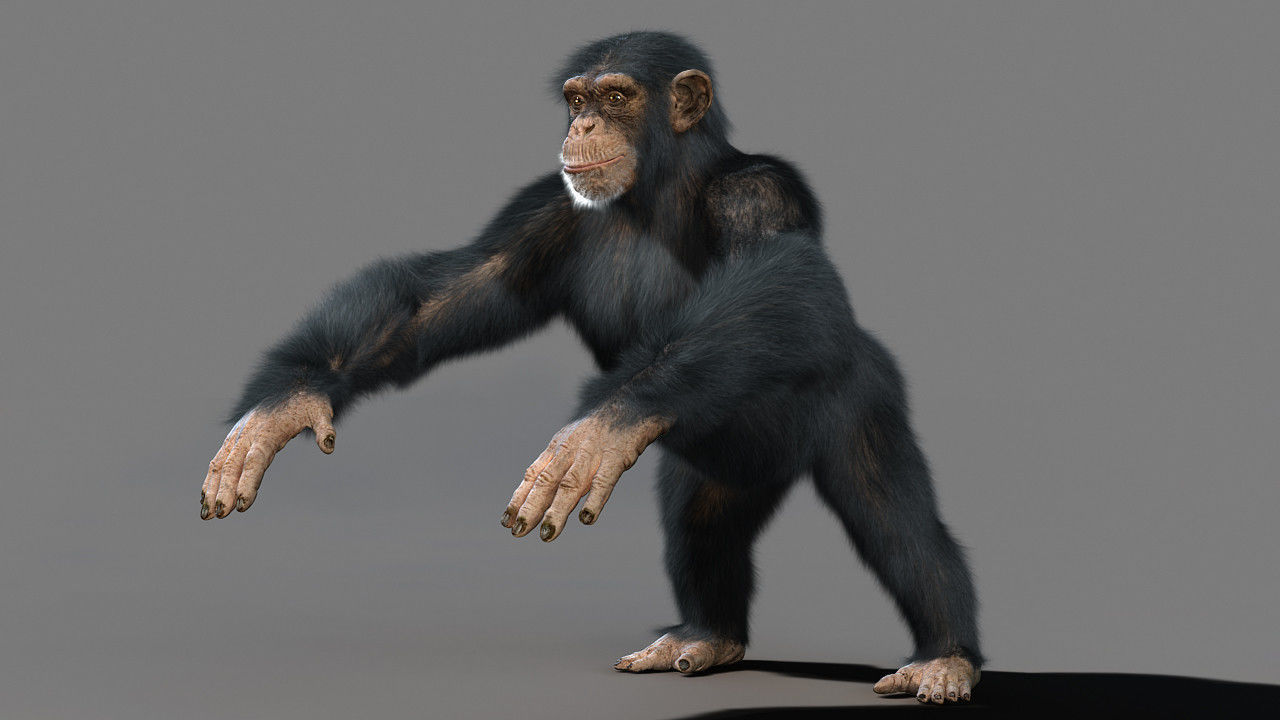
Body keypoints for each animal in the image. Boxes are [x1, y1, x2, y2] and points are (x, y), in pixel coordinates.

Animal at [200, 31, 982, 705]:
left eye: (616, 97)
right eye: (576, 99)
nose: (581, 127)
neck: (658, 193)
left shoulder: (762, 192)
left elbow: (788, 277)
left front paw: (597, 430)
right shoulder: (541, 218)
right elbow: (441, 298)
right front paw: (283, 406)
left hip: (859, 399)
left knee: (894, 516)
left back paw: (944, 655)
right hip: (717, 470)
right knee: (699, 524)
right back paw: (706, 635)